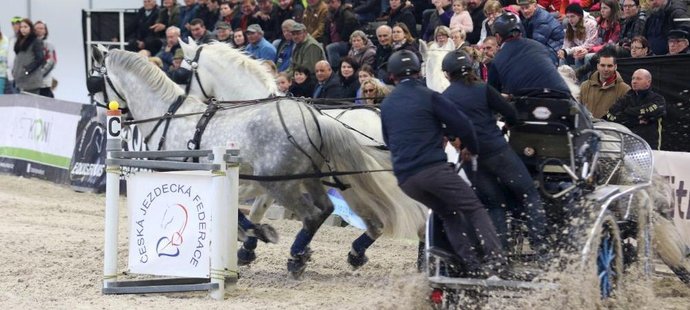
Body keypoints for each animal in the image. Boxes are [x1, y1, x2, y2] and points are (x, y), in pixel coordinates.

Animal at [90, 46, 424, 278]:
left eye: (94, 79)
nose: (98, 111)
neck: (171, 117)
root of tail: (315, 120)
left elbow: (237, 213)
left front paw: (252, 238)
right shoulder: (250, 183)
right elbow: (242, 212)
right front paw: (246, 245)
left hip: (292, 185)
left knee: (322, 215)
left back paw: (300, 257)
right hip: (317, 181)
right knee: (335, 212)